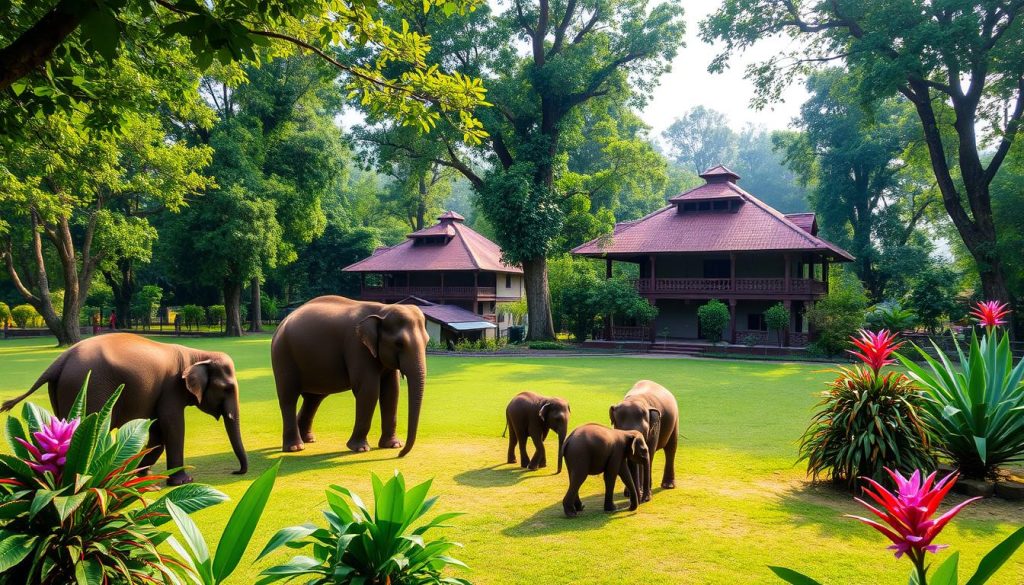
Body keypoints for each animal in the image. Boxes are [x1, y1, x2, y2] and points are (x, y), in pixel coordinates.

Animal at [0, 333, 247, 485]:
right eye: (227, 388)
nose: (235, 471)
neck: (196, 354)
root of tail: (59, 360)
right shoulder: (171, 389)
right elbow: (173, 426)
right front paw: (184, 481)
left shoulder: (160, 393)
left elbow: (159, 432)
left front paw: (140, 473)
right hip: (89, 387)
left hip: (62, 390)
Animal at [270, 296, 428, 456]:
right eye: (399, 344)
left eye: (427, 341)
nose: (400, 454)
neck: (383, 309)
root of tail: (282, 322)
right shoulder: (357, 346)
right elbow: (369, 391)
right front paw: (360, 448)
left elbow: (391, 392)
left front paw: (393, 445)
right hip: (283, 355)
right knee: (288, 397)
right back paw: (295, 447)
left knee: (313, 399)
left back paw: (308, 440)